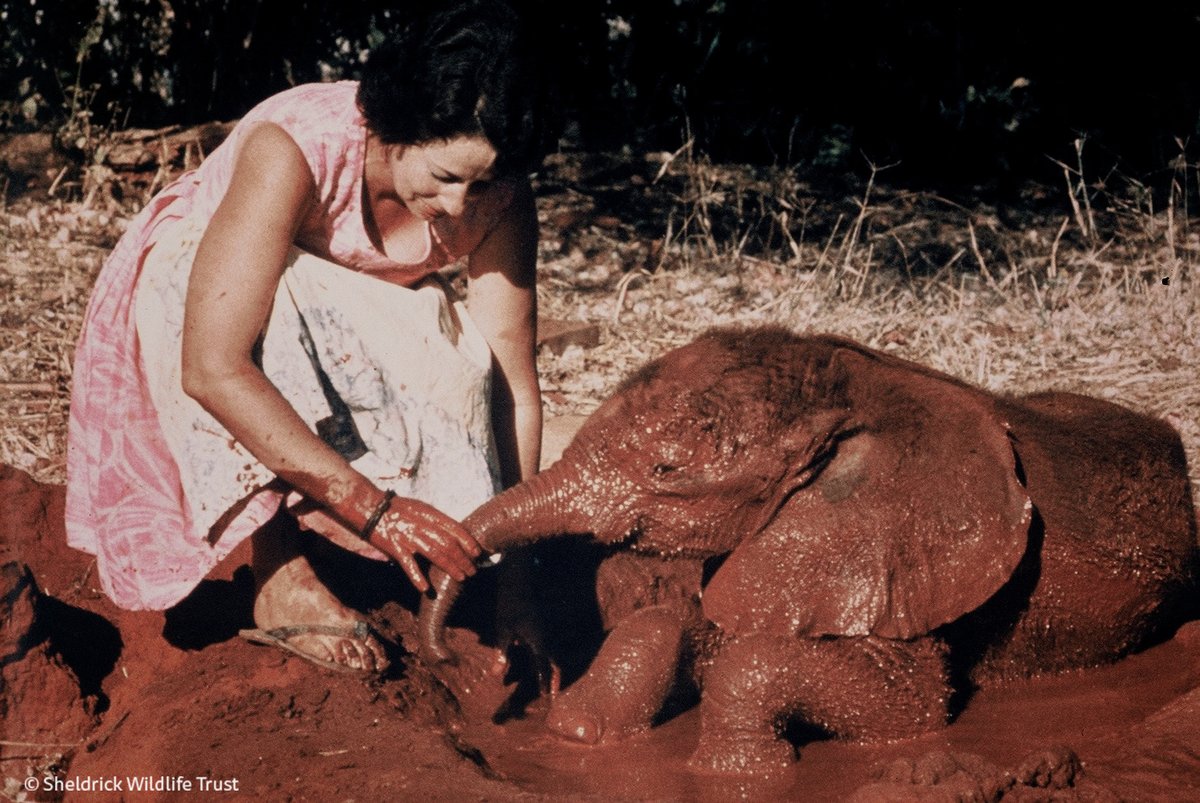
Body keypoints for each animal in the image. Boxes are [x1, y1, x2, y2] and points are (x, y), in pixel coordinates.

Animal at [417, 326, 1195, 777]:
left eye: (664, 470)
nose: (447, 651)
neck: (861, 388)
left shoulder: (895, 560)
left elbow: (913, 702)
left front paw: (734, 774)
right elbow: (694, 620)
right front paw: (578, 733)